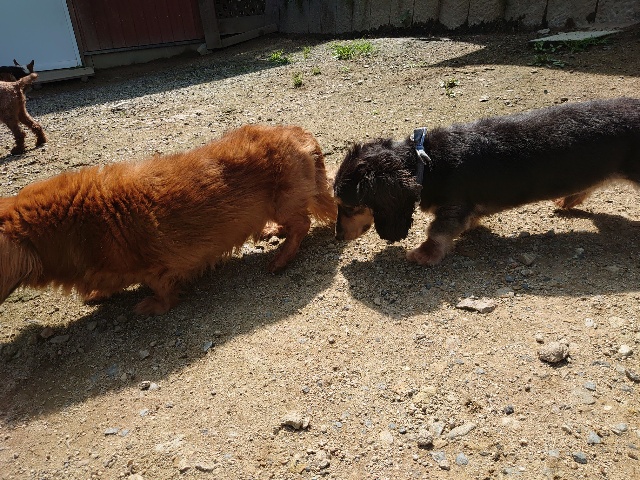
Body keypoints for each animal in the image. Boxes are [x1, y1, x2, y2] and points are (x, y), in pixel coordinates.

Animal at [0, 124, 336, 315]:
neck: (76, 223)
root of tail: (302, 135)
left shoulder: (156, 269)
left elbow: (161, 293)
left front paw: (151, 307)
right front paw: (97, 295)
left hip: (284, 201)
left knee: (301, 224)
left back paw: (280, 259)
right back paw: (270, 231)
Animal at [333, 97, 640, 266]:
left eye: (348, 206)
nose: (337, 237)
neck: (425, 163)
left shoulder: (453, 205)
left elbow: (438, 232)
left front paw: (424, 253)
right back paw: (570, 199)